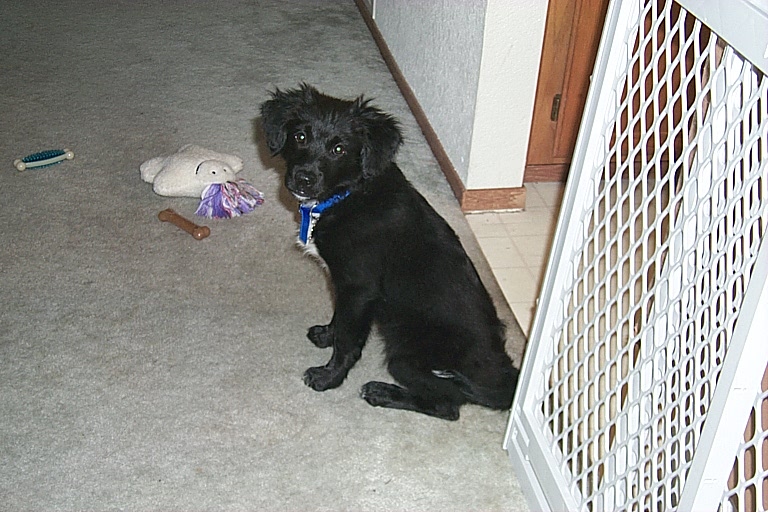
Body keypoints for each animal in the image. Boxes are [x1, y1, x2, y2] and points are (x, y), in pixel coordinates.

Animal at [261, 84, 519, 420]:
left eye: (339, 149)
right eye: (300, 136)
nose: (303, 179)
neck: (349, 194)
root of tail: (503, 377)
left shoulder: (359, 287)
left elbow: (348, 340)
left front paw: (328, 378)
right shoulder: (346, 288)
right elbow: (340, 321)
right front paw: (326, 335)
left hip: (404, 353)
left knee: (447, 405)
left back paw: (381, 392)